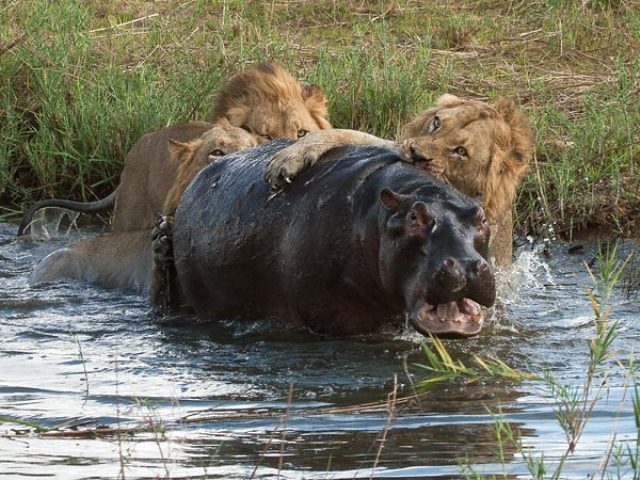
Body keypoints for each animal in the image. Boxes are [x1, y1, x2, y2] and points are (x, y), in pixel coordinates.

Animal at [262, 94, 532, 266]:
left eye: (461, 151)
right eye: (436, 123)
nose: (416, 154)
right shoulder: (393, 144)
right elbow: (345, 133)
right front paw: (289, 157)